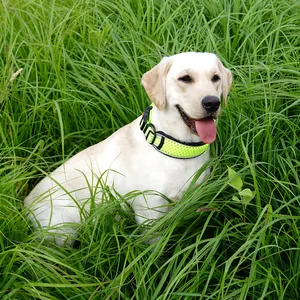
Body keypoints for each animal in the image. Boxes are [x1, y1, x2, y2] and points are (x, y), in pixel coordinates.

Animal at [25, 52, 232, 246]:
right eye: (185, 78)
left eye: (215, 78)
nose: (212, 102)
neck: (175, 147)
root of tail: (25, 203)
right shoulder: (149, 212)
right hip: (63, 227)